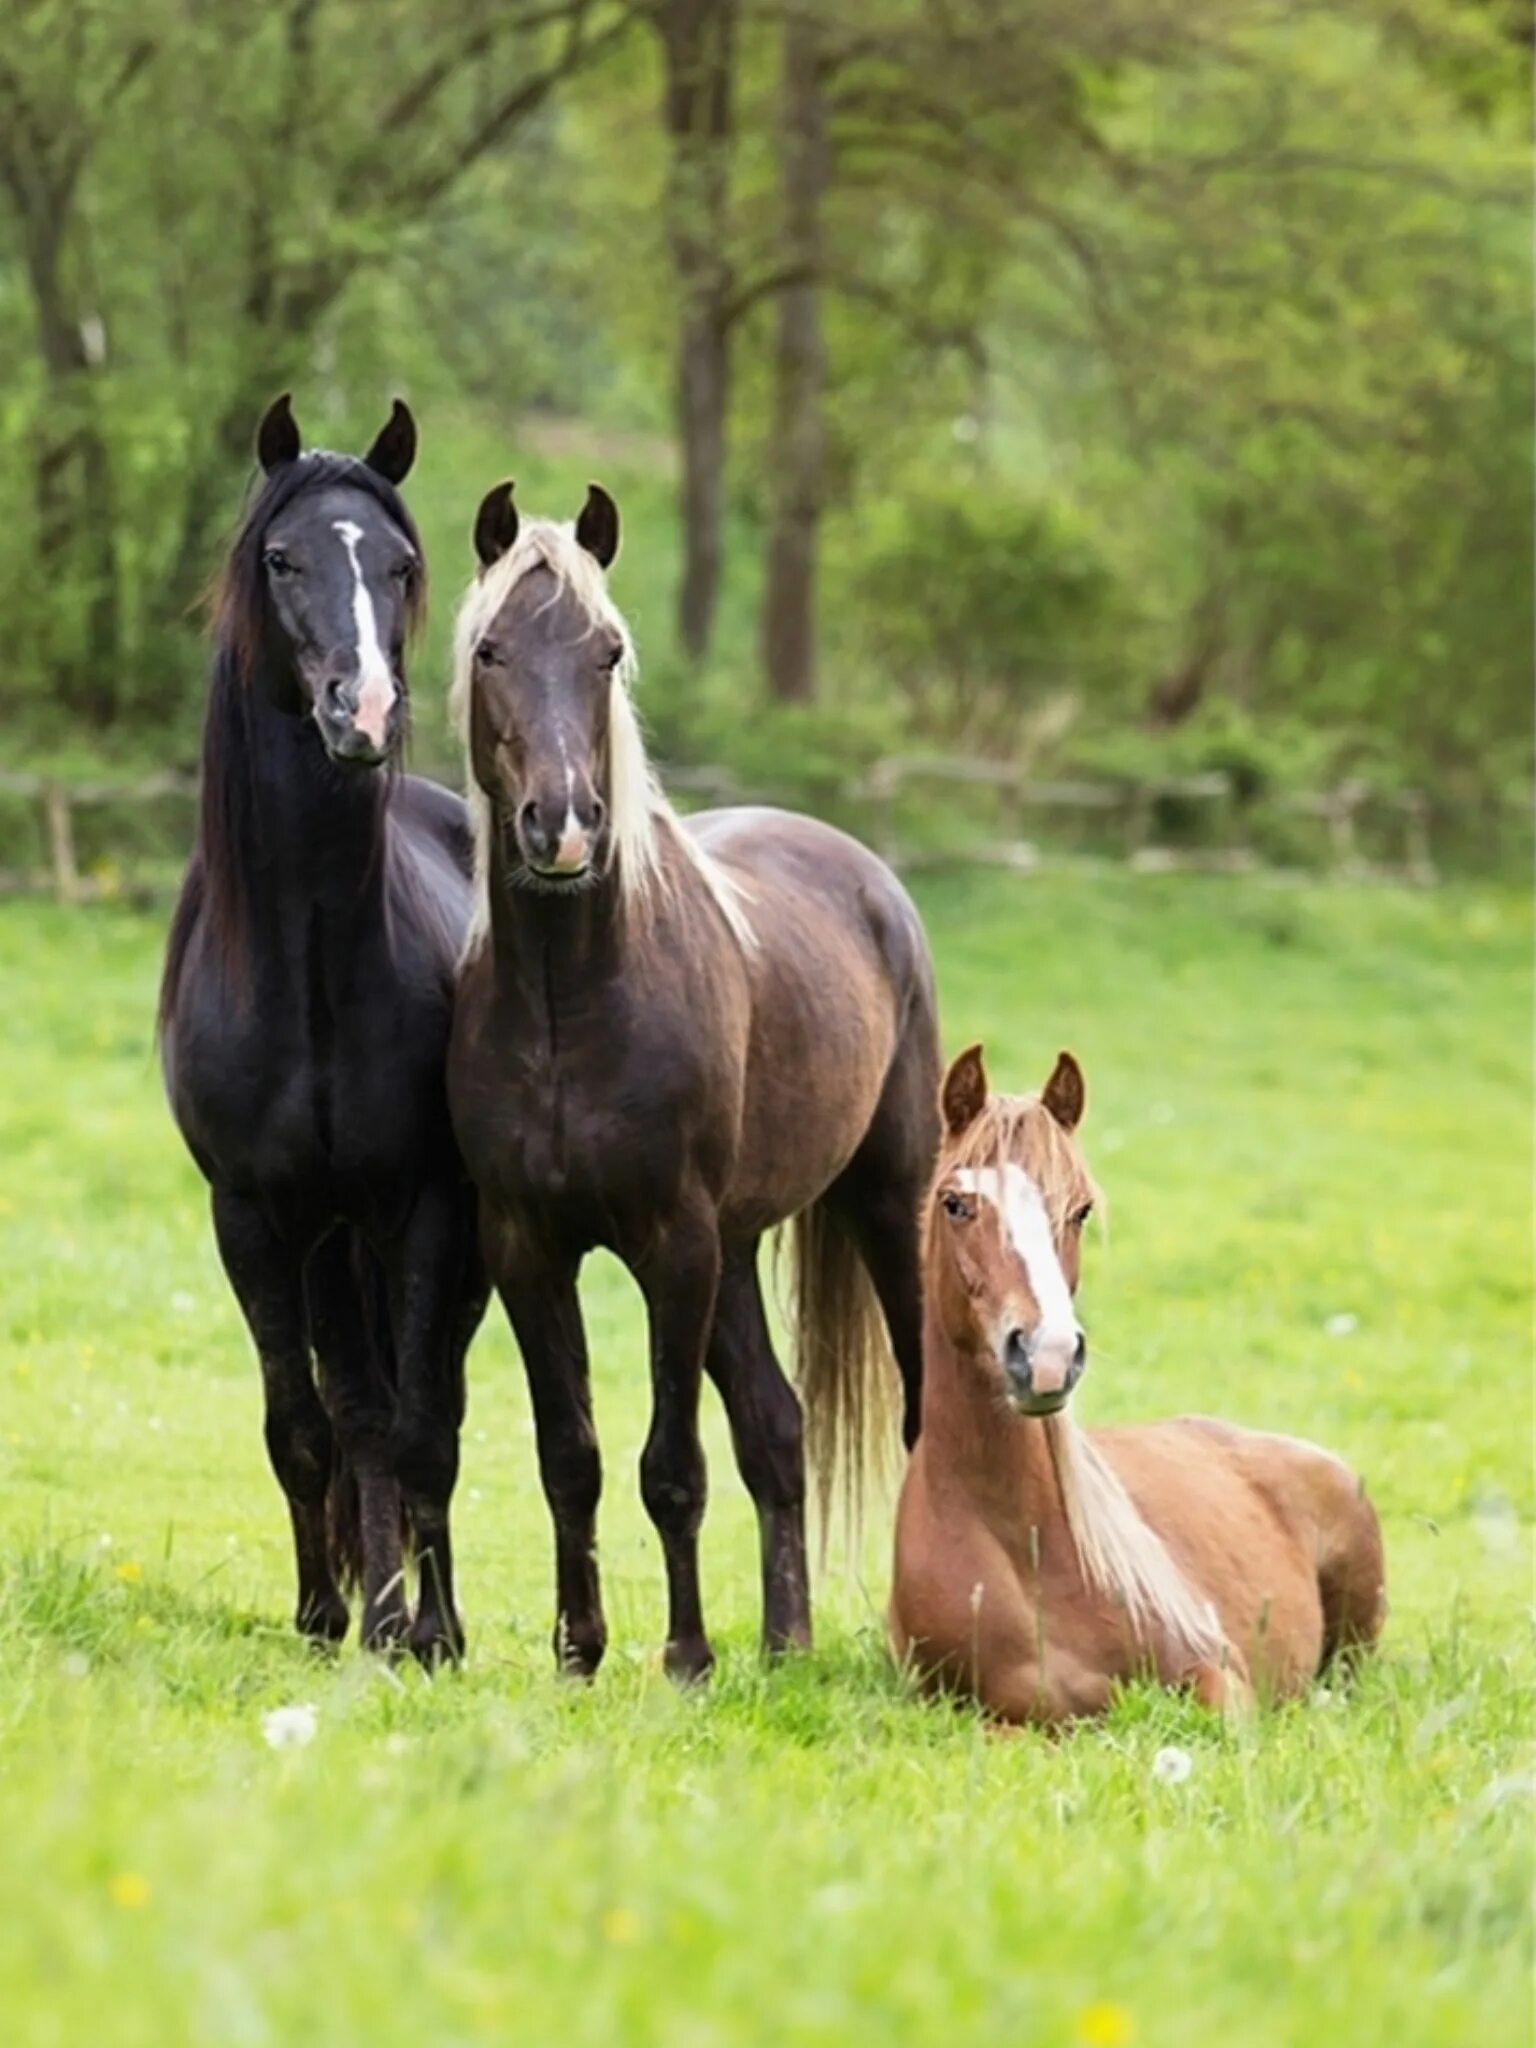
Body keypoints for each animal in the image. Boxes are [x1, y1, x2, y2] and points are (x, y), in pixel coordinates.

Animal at [161, 399, 487, 1662]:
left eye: (398, 564)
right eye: (283, 559)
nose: (367, 711)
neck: (303, 965)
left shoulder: (423, 1207)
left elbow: (419, 1426)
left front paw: (426, 1632)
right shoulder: (253, 1215)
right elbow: (302, 1423)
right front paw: (321, 1614)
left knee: (414, 1403)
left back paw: (413, 1614)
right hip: (327, 1244)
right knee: (348, 1406)